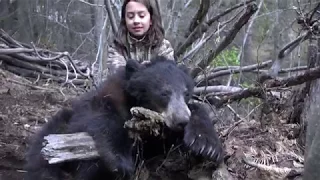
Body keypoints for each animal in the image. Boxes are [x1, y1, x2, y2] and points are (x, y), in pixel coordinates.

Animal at [24, 55, 222, 179]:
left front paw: (206, 145)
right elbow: (101, 116)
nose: (181, 120)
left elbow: (198, 112)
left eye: (186, 93)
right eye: (164, 93)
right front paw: (121, 160)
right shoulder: (105, 99)